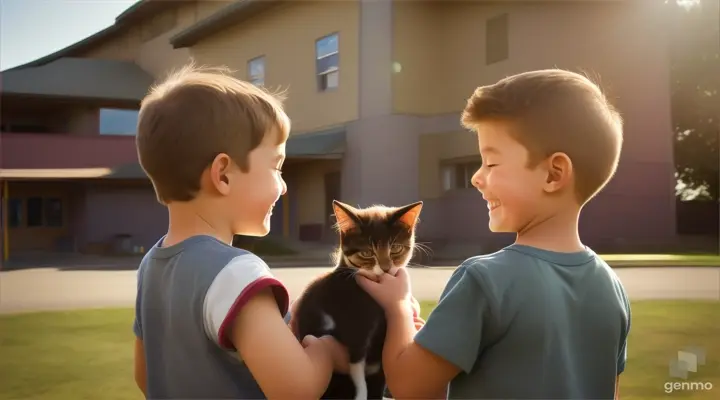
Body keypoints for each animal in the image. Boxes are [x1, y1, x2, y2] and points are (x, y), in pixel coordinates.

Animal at [292, 202, 420, 400]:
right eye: (367, 253)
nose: (385, 268)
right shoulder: (354, 324)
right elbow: (357, 364)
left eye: (395, 249)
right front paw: (361, 392)